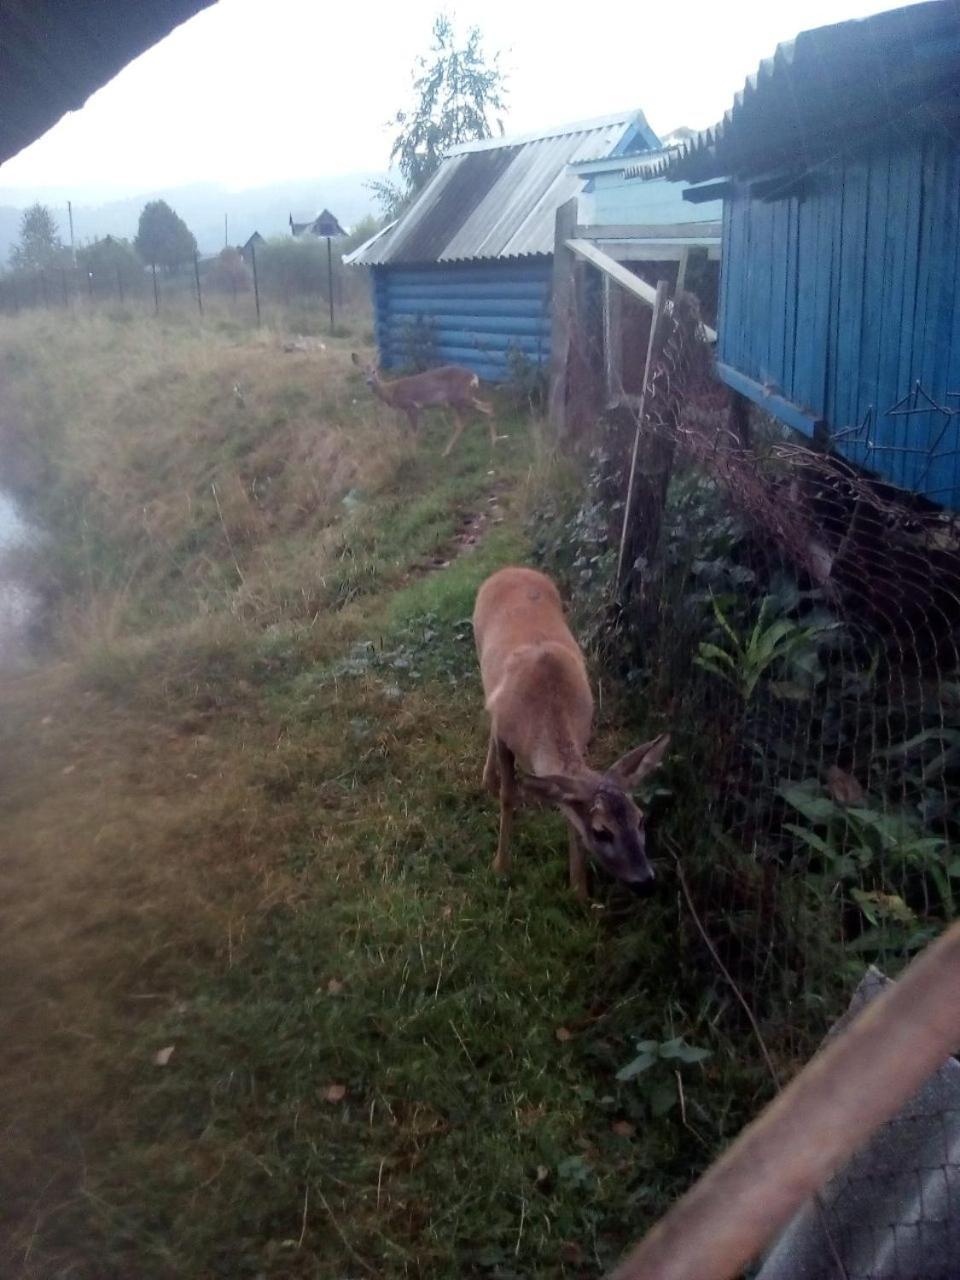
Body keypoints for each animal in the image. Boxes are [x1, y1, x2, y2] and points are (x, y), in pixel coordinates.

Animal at [350, 355, 499, 460]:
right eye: (362, 372)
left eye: (374, 371)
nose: (369, 382)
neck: (391, 391)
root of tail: (474, 376)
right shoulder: (416, 410)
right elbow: (416, 431)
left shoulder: (411, 406)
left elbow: (413, 433)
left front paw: (413, 455)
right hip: (457, 400)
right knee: (463, 421)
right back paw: (447, 452)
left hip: (460, 397)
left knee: (487, 406)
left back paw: (493, 443)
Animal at [471, 565, 670, 906]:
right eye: (602, 831)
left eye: (640, 819)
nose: (646, 882)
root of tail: (509, 568)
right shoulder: (506, 735)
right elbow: (509, 797)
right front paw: (500, 866)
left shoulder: (583, 734)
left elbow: (567, 809)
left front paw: (579, 889)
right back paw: (488, 779)